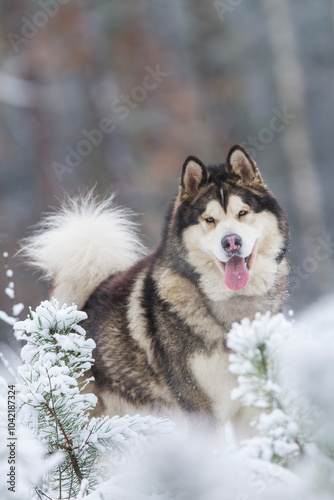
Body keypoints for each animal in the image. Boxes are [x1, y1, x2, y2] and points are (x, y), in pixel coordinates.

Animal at [23, 146, 290, 434]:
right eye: (209, 219)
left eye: (242, 213)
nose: (231, 242)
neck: (233, 307)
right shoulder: (199, 409)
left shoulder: (254, 405)